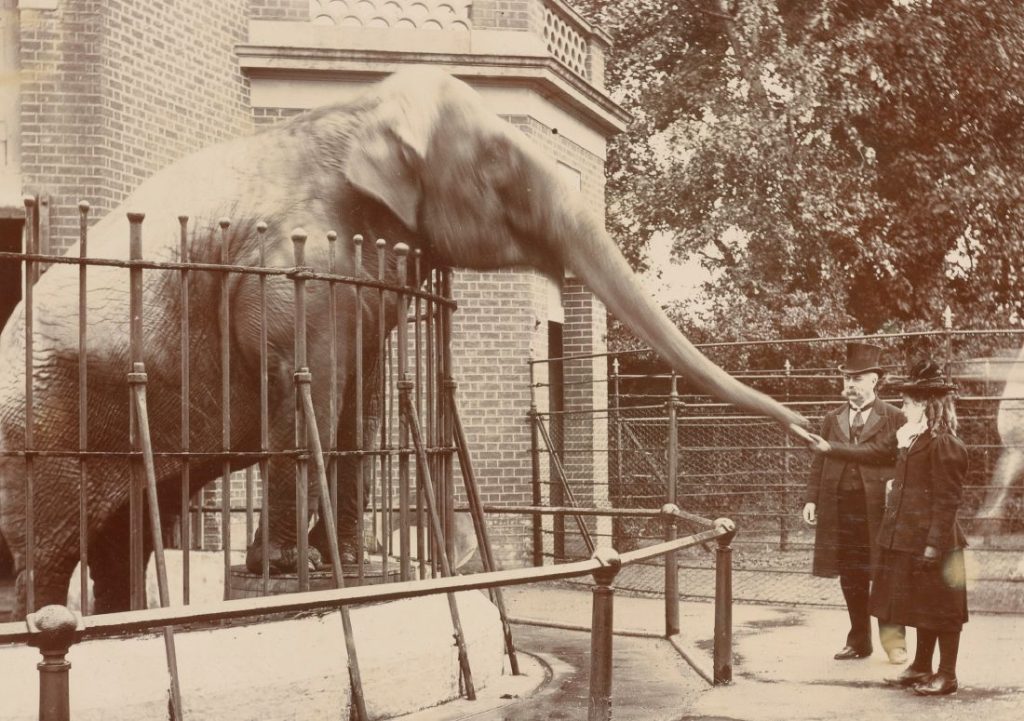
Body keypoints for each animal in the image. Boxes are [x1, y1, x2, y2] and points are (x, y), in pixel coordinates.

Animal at [0, 69, 806, 618]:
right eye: (502, 172)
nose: (812, 432)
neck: (358, 110)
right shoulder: (292, 267)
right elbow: (311, 395)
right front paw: (284, 570)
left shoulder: (360, 283)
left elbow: (360, 399)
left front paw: (354, 561)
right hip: (40, 428)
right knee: (48, 549)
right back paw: (48, 615)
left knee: (122, 542)